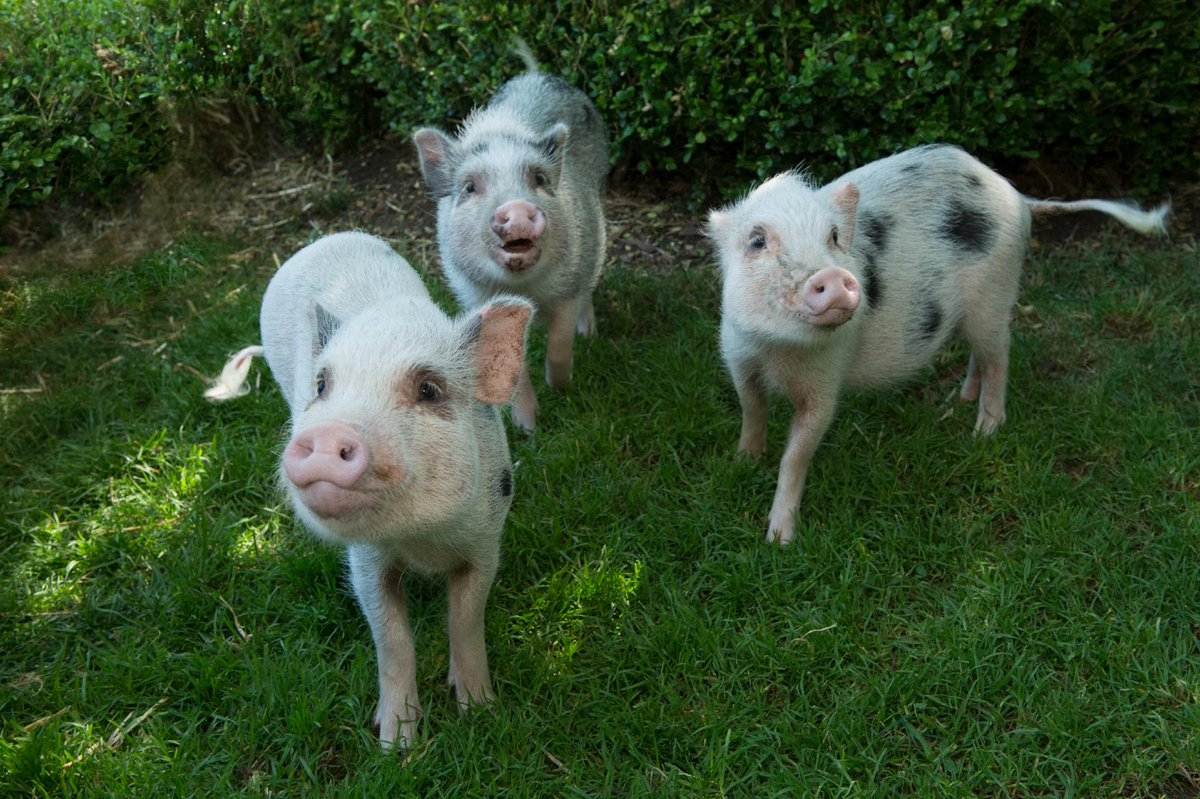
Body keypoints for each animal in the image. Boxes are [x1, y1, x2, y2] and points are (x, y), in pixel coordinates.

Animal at [205, 231, 534, 750]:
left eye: (428, 389)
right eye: (322, 385)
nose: (327, 434)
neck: (423, 541)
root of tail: (326, 240)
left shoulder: (486, 543)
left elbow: (465, 620)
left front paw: (481, 713)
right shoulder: (365, 560)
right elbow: (392, 640)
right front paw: (397, 746)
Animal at [413, 46, 609, 432]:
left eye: (539, 179)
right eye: (469, 187)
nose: (517, 208)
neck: (527, 290)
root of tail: (535, 74)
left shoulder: (568, 284)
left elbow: (560, 341)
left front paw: (560, 386)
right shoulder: (476, 295)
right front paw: (527, 429)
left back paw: (589, 334)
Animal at [707, 144, 1170, 545]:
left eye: (834, 237)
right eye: (757, 241)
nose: (834, 277)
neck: (778, 351)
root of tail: (1015, 194)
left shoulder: (825, 383)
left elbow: (797, 454)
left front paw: (779, 541)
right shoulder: (738, 357)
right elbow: (751, 410)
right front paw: (742, 462)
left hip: (995, 298)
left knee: (1000, 357)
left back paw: (983, 432)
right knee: (979, 356)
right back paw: (957, 401)